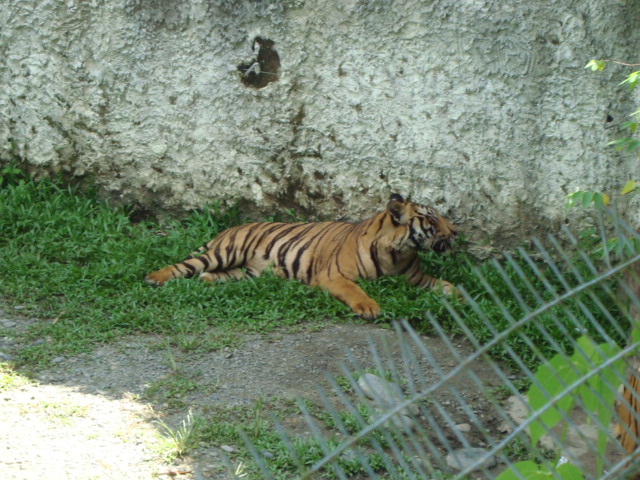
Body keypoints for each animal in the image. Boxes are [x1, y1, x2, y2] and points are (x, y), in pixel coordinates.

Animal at [144, 193, 460, 316]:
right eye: (433, 218)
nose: (456, 231)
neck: (398, 253)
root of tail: (230, 228)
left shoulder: (417, 279)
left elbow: (446, 285)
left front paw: (461, 297)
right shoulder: (333, 276)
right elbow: (355, 290)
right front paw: (369, 307)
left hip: (245, 272)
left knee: (216, 275)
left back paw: (208, 280)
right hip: (224, 253)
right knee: (184, 265)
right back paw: (154, 278)